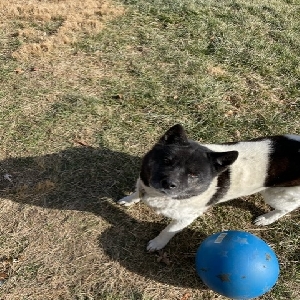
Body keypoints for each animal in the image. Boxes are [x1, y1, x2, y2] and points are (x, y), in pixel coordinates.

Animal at [118, 124, 300, 251]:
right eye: (167, 161)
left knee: (287, 208)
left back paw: (267, 218)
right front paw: (129, 199)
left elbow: (168, 231)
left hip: (276, 195)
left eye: (193, 174)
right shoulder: (143, 184)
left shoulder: (185, 219)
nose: (168, 184)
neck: (160, 196)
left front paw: (157, 243)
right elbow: (136, 192)